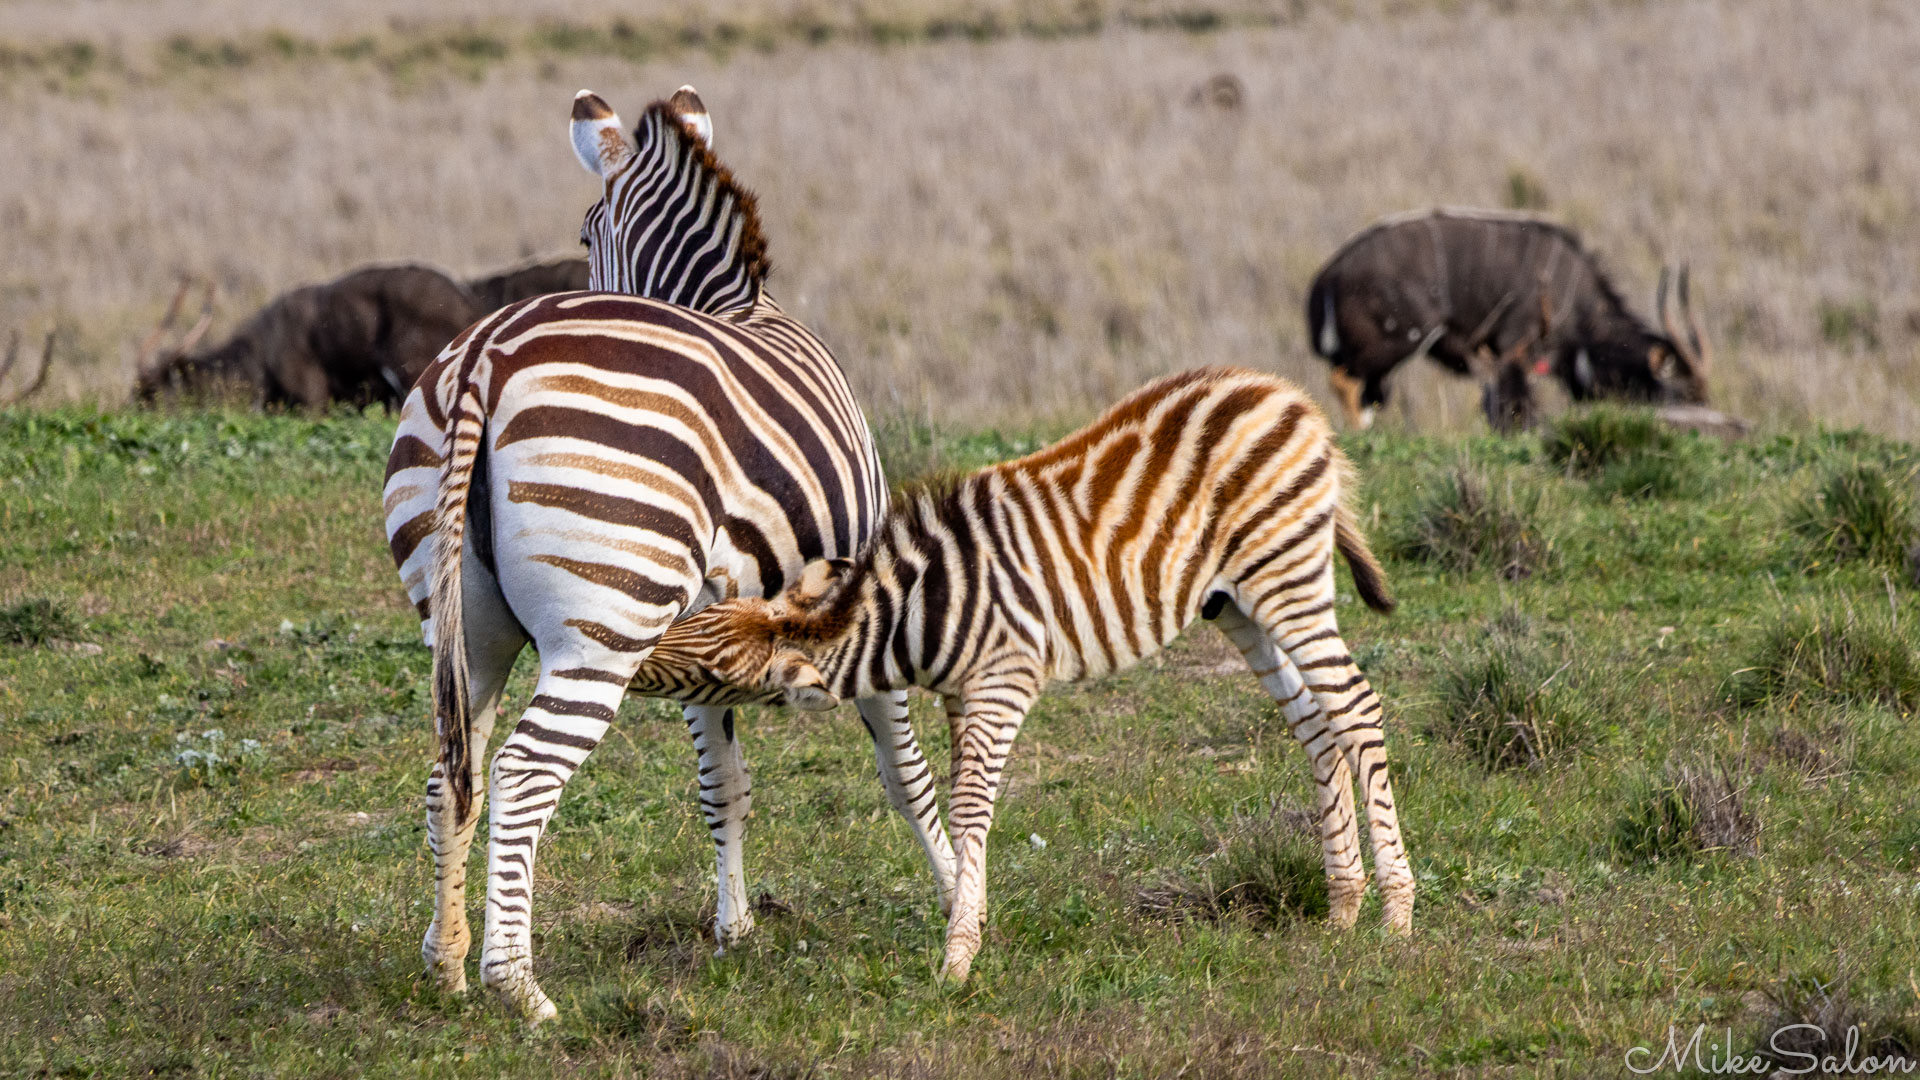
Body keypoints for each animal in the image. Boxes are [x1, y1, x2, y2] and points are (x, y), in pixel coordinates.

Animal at [382, 87, 955, 1022]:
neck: (733, 305)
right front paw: (958, 897)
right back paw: (519, 986)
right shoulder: (865, 609)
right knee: (520, 776)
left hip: (467, 626)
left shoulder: (706, 641)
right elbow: (904, 772)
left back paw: (447, 960)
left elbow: (724, 784)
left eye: (585, 238)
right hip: (603, 625)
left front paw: (736, 929)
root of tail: (483, 361)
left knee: (449, 774)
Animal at [629, 366, 1418, 982]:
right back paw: (1343, 906)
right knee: (1316, 720)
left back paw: (1397, 916)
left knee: (1355, 707)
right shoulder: (958, 695)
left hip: (1286, 574)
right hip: (1238, 602)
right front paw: (971, 920)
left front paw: (957, 958)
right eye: (698, 624)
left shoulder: (1002, 682)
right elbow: (950, 796)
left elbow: (971, 805)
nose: (634, 653)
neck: (918, 613)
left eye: (709, 664)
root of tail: (1285, 394)